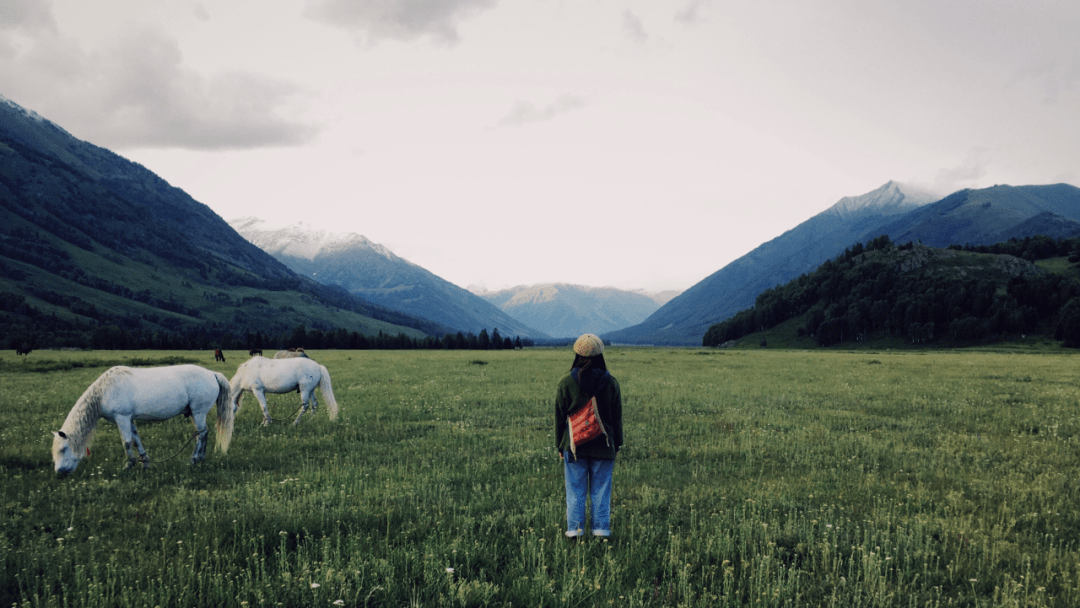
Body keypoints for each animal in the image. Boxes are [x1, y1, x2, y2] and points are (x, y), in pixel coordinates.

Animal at [52, 367, 234, 475]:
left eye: (63, 449)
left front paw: (128, 465)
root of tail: (212, 374)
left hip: (198, 411)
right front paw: (144, 463)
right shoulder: (130, 419)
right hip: (194, 414)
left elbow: (126, 442)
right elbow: (135, 441)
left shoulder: (122, 418)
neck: (104, 391)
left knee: (201, 434)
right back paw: (201, 458)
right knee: (203, 432)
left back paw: (194, 460)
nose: (59, 473)